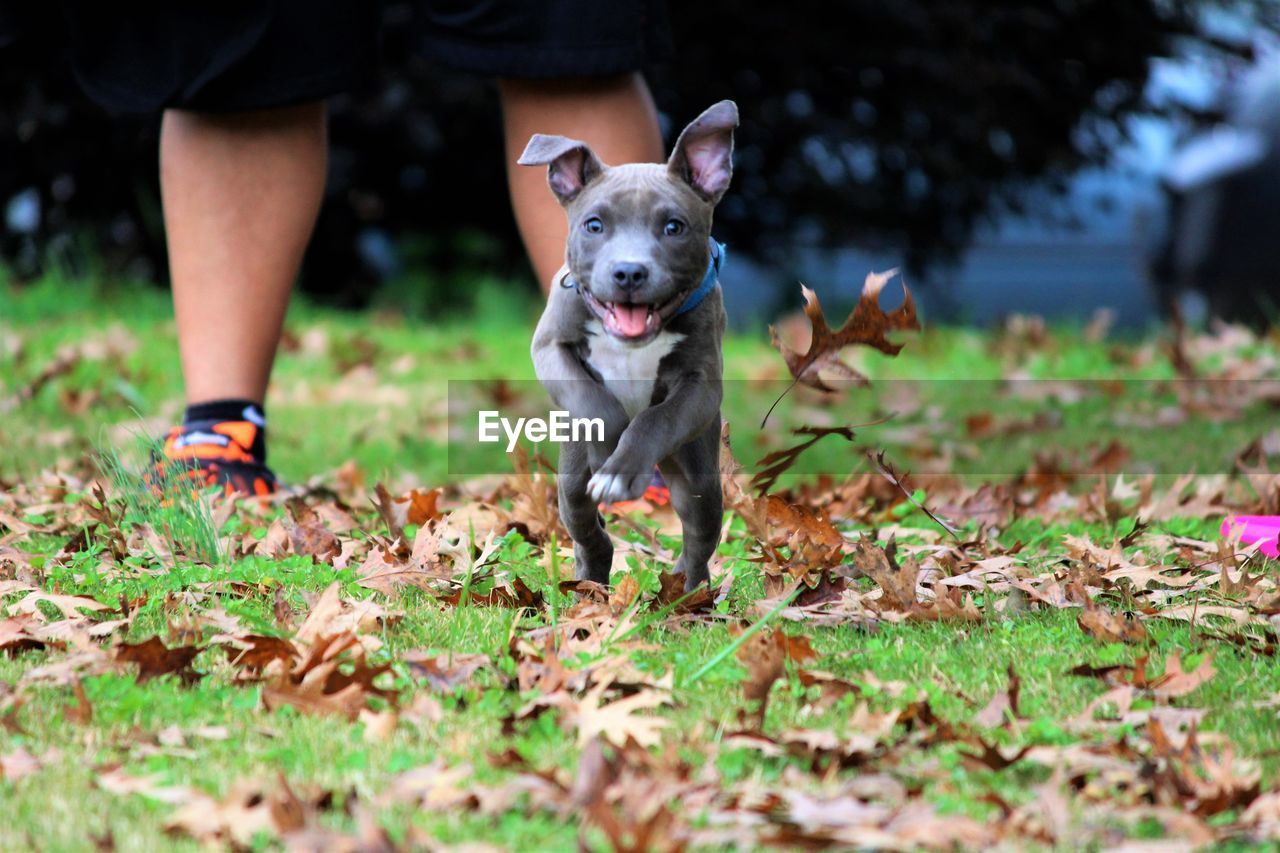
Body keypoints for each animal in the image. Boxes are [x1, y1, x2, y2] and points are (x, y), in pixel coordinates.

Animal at [519, 101, 742, 591]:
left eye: (674, 227)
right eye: (594, 225)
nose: (629, 272)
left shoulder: (701, 385)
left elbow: (655, 418)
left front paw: (621, 467)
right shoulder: (550, 348)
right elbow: (598, 406)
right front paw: (611, 453)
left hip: (698, 469)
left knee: (699, 533)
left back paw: (688, 591)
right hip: (570, 475)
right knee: (585, 524)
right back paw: (591, 577)